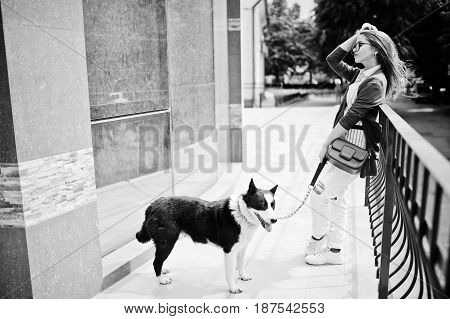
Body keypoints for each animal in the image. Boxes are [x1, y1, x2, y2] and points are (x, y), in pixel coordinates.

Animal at [136, 179, 278, 294]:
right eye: (262, 205)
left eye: (273, 205)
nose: (275, 220)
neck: (241, 214)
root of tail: (153, 205)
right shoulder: (229, 251)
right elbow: (230, 273)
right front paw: (233, 288)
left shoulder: (242, 247)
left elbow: (241, 263)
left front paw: (243, 276)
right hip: (168, 242)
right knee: (156, 262)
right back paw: (162, 280)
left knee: (158, 260)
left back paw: (163, 271)